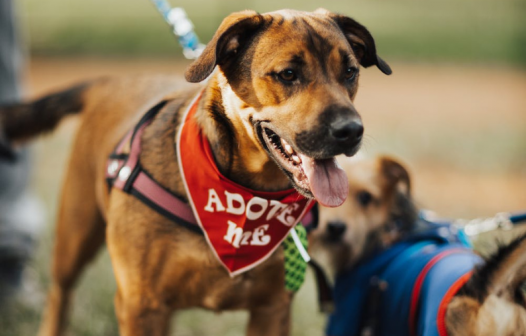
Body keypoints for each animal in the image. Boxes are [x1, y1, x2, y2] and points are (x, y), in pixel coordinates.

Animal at [0, 7, 392, 336]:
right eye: (288, 74)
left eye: (350, 72)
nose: (351, 131)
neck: (243, 198)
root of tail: (110, 82)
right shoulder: (140, 306)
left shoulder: (272, 309)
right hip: (74, 235)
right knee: (60, 296)